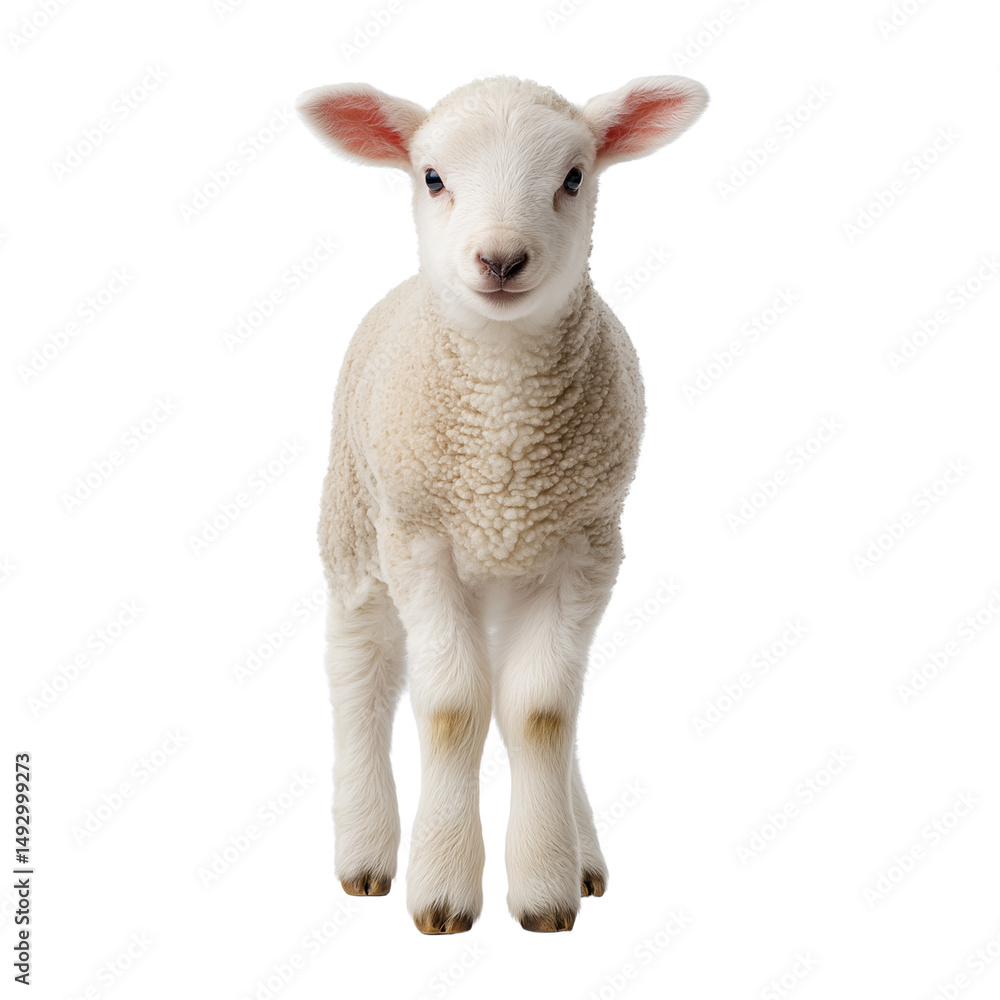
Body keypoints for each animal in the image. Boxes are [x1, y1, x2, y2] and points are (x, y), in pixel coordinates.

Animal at [296, 74, 709, 934]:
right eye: (432, 177)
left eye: (575, 177)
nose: (501, 259)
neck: (503, 448)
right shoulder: (419, 540)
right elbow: (452, 707)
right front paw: (444, 890)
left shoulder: (587, 547)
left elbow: (541, 711)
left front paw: (546, 886)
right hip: (357, 523)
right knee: (360, 670)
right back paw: (365, 851)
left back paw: (582, 851)